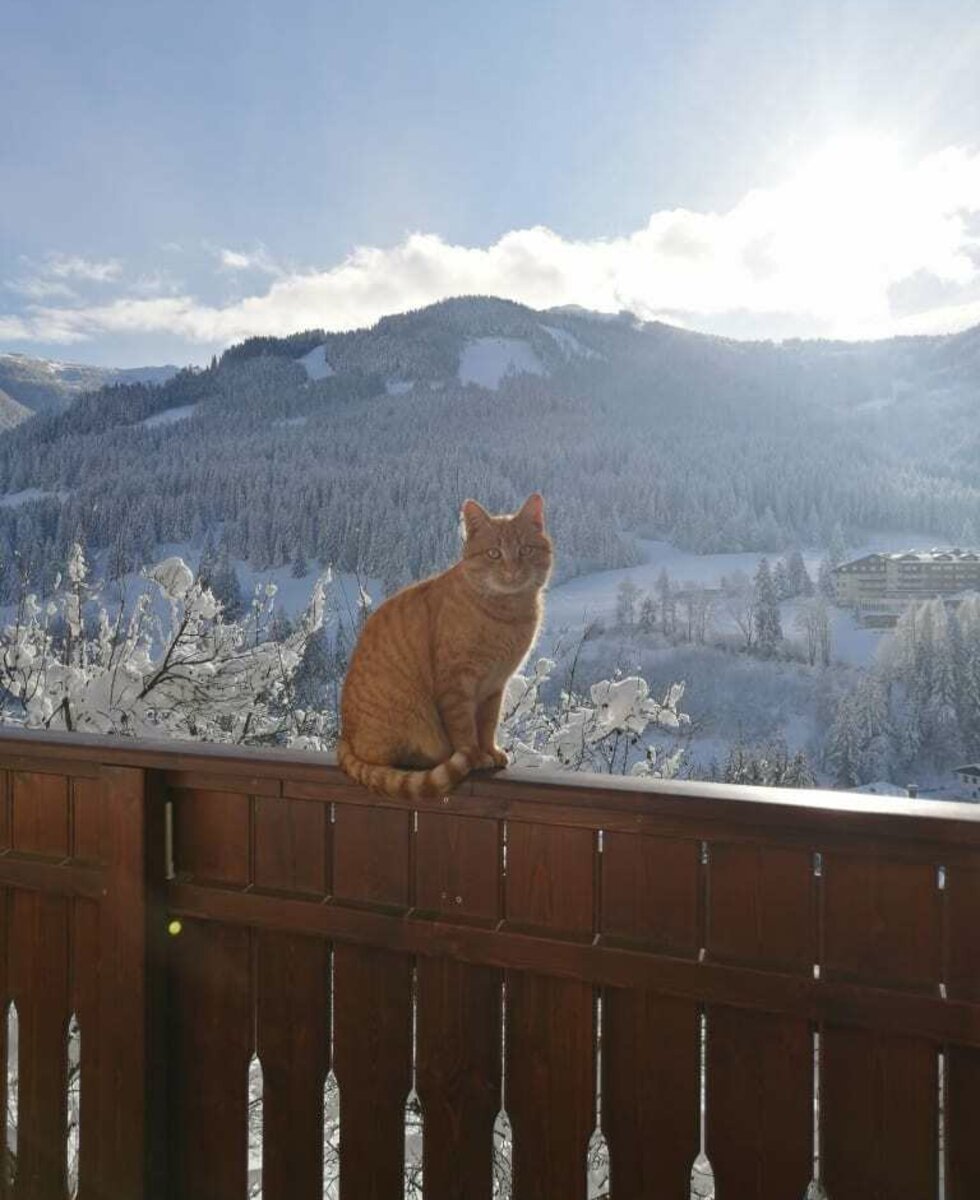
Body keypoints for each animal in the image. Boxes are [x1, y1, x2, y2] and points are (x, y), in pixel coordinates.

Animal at [335, 494, 551, 796]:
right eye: (494, 554)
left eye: (525, 550)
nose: (512, 571)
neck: (507, 613)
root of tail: (344, 737)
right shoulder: (456, 684)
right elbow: (464, 730)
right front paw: (475, 756)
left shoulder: (494, 687)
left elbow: (487, 724)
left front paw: (490, 751)